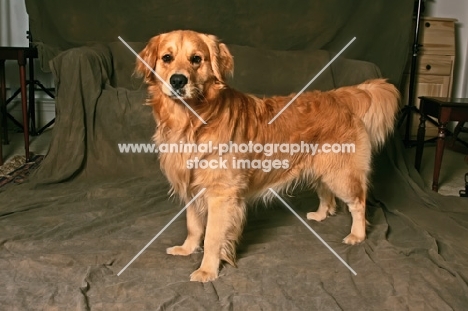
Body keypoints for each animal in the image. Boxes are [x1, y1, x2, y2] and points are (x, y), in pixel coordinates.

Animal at [135, 29, 398, 282]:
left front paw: (207, 270)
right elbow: (193, 225)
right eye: (166, 58)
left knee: (358, 202)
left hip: (341, 174)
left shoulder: (221, 195)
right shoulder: (192, 187)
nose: (178, 80)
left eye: (196, 59)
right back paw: (321, 215)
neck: (193, 120)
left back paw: (357, 235)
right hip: (321, 167)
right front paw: (187, 249)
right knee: (326, 193)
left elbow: (212, 236)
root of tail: (338, 96)